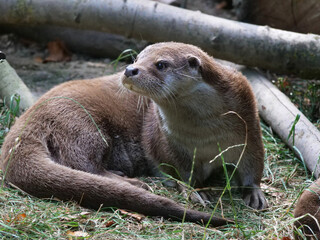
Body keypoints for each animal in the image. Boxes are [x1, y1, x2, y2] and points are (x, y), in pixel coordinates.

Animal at [1, 41, 266, 225]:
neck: (205, 133)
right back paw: (132, 182)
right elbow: (179, 173)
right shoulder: (167, 144)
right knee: (83, 163)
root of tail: (25, 122)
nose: (130, 69)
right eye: (137, 58)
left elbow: (253, 164)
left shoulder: (249, 125)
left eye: (161, 64)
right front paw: (195, 192)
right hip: (82, 124)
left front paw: (254, 194)